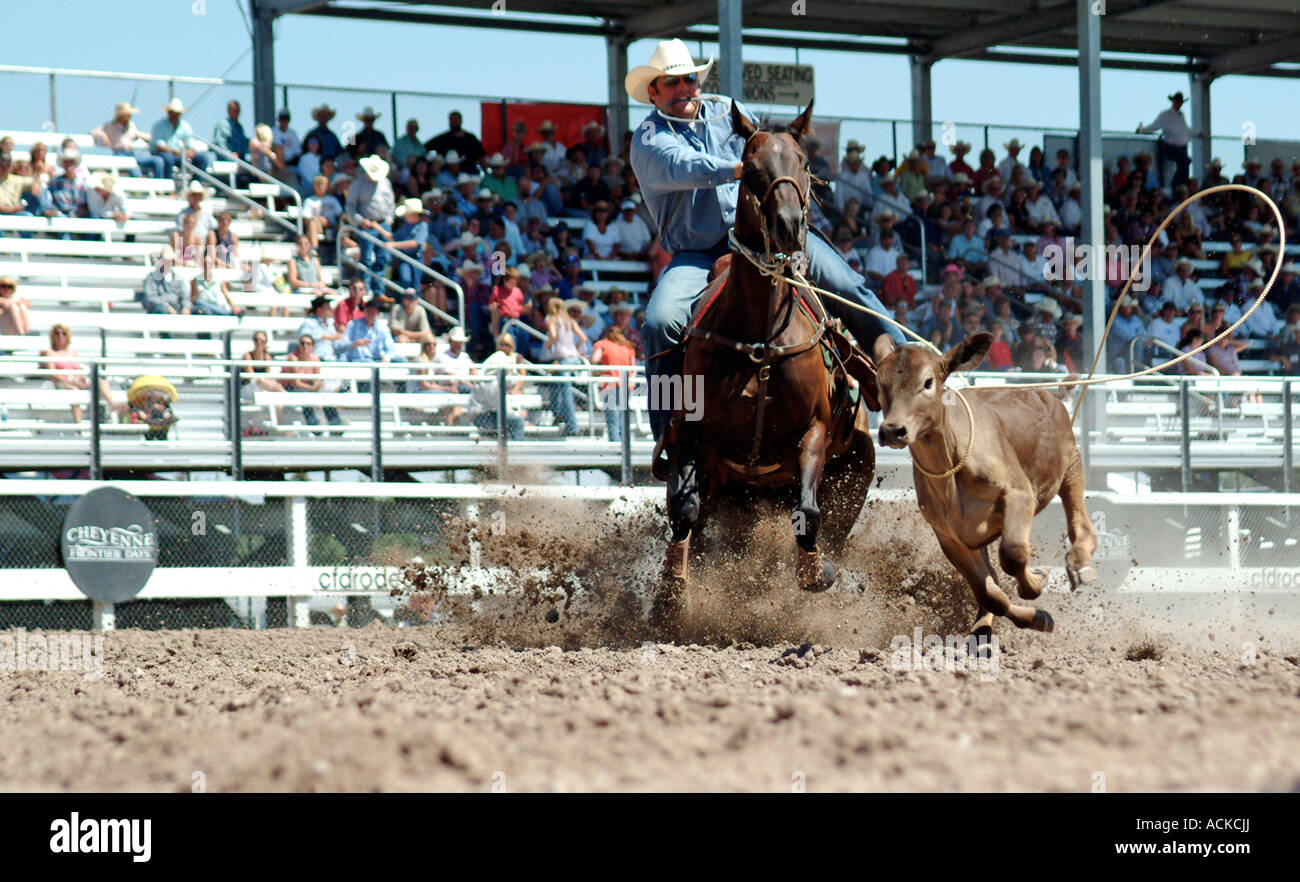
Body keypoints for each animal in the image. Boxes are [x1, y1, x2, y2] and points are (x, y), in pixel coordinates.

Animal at [655, 102, 878, 629]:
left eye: (805, 164)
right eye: (751, 170)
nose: (789, 225)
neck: (759, 338)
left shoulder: (813, 431)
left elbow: (808, 515)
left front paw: (818, 573)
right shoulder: (691, 431)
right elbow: (684, 508)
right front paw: (670, 596)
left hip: (857, 467)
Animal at [873, 335, 1097, 640]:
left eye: (928, 382)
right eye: (879, 381)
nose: (892, 430)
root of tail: (1048, 395)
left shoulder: (1019, 495)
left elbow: (1013, 555)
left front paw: (1036, 583)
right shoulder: (949, 536)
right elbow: (991, 594)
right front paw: (1038, 617)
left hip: (1071, 463)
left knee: (1079, 519)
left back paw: (1079, 562)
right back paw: (983, 625)